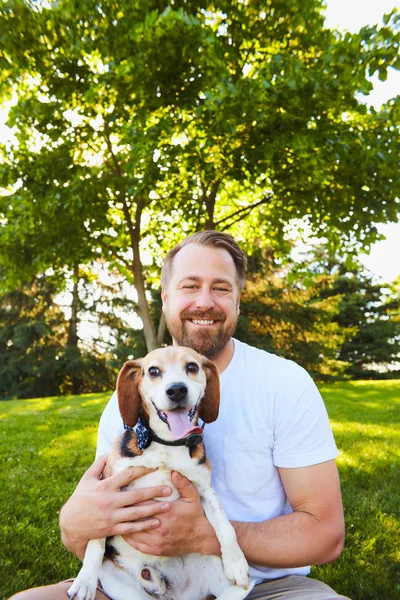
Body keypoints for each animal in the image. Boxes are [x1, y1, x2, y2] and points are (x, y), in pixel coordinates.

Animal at [66, 346, 253, 600]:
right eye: (153, 371)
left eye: (192, 367)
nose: (176, 390)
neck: (167, 444)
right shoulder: (108, 491)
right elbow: (97, 540)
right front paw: (85, 580)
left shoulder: (205, 489)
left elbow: (225, 526)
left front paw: (237, 563)